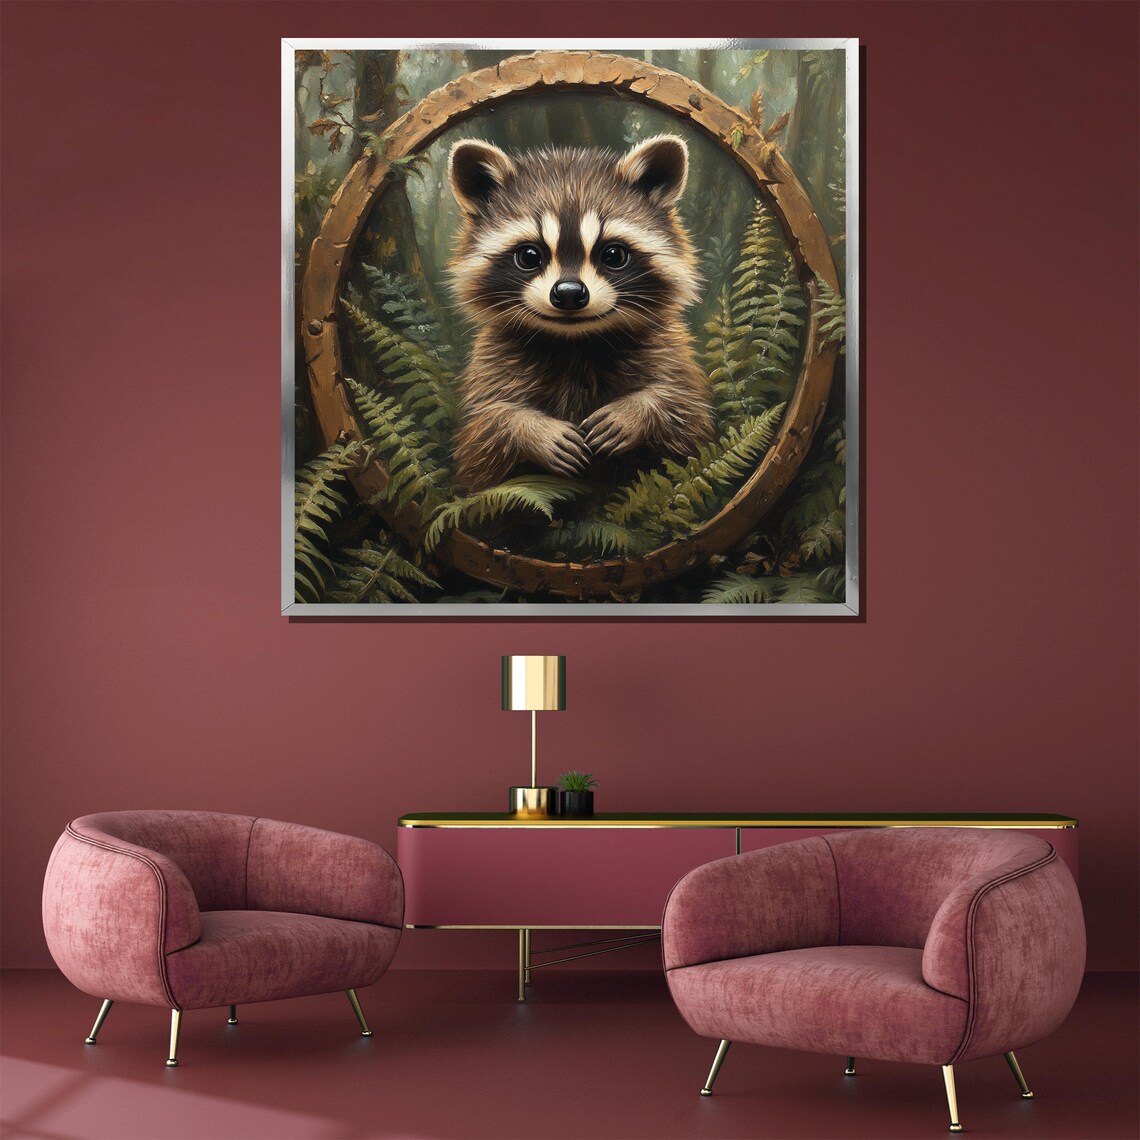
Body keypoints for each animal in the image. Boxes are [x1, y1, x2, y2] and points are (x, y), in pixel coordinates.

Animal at [446, 134, 713, 491]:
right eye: (529, 256)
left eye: (613, 255)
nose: (569, 294)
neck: (575, 342)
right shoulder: (493, 365)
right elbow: (481, 435)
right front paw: (528, 429)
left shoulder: (669, 353)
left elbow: (689, 416)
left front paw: (639, 410)